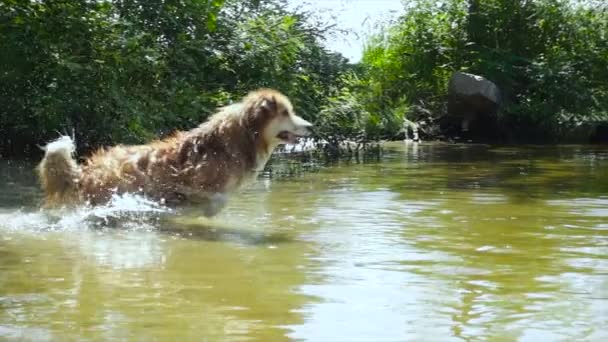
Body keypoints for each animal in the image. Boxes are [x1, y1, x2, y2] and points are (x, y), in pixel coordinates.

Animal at [36, 88, 314, 216]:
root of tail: (83, 172)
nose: (311, 126)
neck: (244, 136)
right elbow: (211, 199)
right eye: (286, 113)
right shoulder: (200, 183)